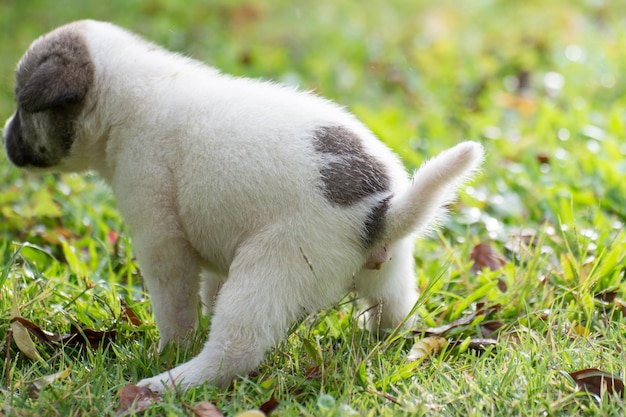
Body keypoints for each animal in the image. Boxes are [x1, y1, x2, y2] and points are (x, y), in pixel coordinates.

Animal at [2, 19, 482, 390]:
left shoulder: (160, 234)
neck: (129, 98)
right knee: (395, 314)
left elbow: (175, 305)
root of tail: (382, 210)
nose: (4, 139)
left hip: (271, 270)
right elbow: (209, 288)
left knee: (235, 351)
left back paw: (165, 384)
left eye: (22, 106)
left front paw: (168, 349)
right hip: (390, 274)